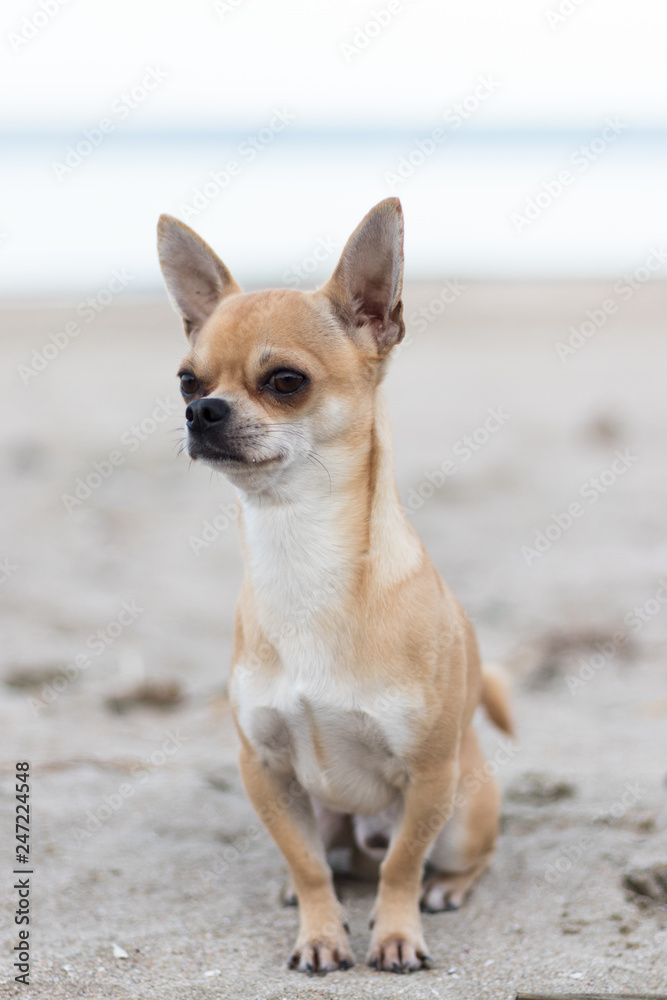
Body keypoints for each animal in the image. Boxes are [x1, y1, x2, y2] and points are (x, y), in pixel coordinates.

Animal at [159, 199, 516, 972]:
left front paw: (396, 933)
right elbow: (307, 866)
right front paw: (321, 932)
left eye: (285, 381)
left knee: (446, 856)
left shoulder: (428, 776)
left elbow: (402, 866)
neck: (299, 551)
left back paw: (448, 888)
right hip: (320, 811)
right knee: (337, 858)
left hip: (462, 808)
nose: (200, 412)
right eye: (187, 381)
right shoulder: (263, 770)